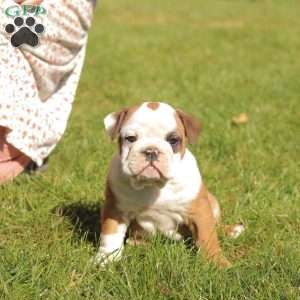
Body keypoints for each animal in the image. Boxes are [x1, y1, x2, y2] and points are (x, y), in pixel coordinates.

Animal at [95, 101, 231, 268]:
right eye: (131, 138)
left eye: (173, 140)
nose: (151, 151)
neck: (154, 185)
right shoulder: (116, 209)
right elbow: (110, 235)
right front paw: (106, 259)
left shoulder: (200, 212)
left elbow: (207, 236)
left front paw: (217, 263)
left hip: (213, 204)